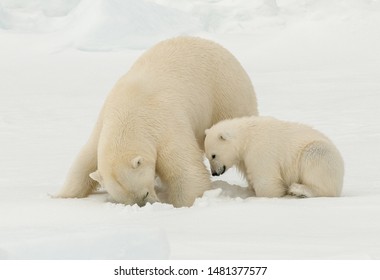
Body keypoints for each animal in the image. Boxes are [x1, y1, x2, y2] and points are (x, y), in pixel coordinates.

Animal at [57, 36, 258, 208]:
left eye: (145, 193)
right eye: (127, 201)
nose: (149, 204)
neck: (129, 112)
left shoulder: (163, 124)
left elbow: (185, 170)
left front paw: (188, 203)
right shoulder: (103, 124)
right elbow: (84, 161)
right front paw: (61, 196)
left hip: (225, 94)